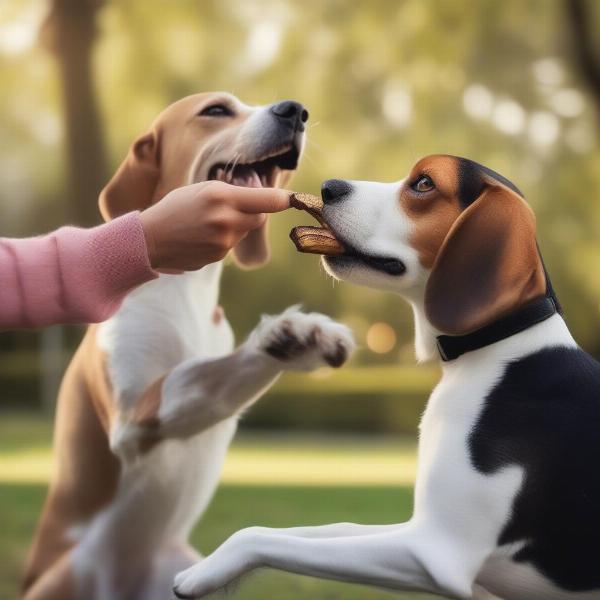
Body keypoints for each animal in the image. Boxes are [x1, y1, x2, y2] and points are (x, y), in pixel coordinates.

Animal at [21, 94, 354, 600]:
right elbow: (198, 376)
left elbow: (215, 381)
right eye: (216, 110)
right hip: (72, 573)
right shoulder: (133, 419)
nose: (295, 111)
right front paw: (286, 337)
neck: (187, 287)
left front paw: (305, 341)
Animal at [172, 156, 600, 600]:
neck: (496, 348)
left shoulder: (436, 551)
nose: (328, 187)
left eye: (424, 183)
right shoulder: (414, 532)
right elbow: (313, 529)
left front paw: (205, 572)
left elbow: (260, 538)